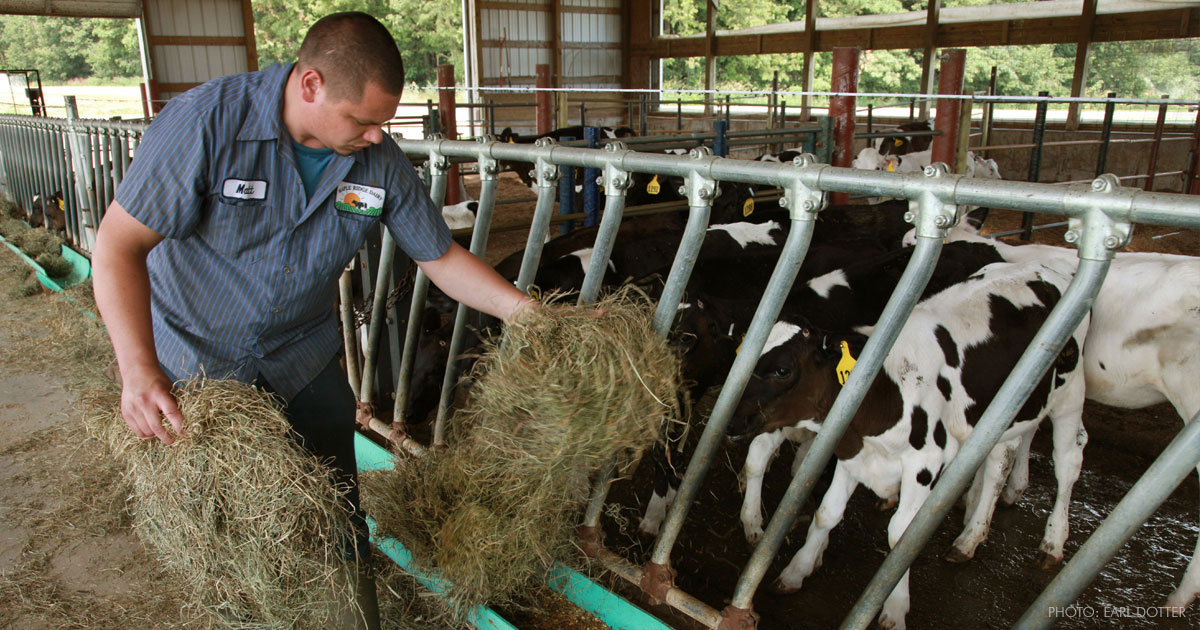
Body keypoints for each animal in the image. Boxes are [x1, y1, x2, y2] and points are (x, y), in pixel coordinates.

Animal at [734, 258, 1094, 624]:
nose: (732, 417)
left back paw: (1045, 541)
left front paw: (894, 609)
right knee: (999, 461)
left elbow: (901, 537)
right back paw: (971, 524)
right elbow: (827, 513)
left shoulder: (924, 464)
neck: (885, 391)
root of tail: (1044, 266)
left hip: (1069, 393)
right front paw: (798, 569)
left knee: (1067, 461)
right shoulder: (851, 451)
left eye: (782, 370)